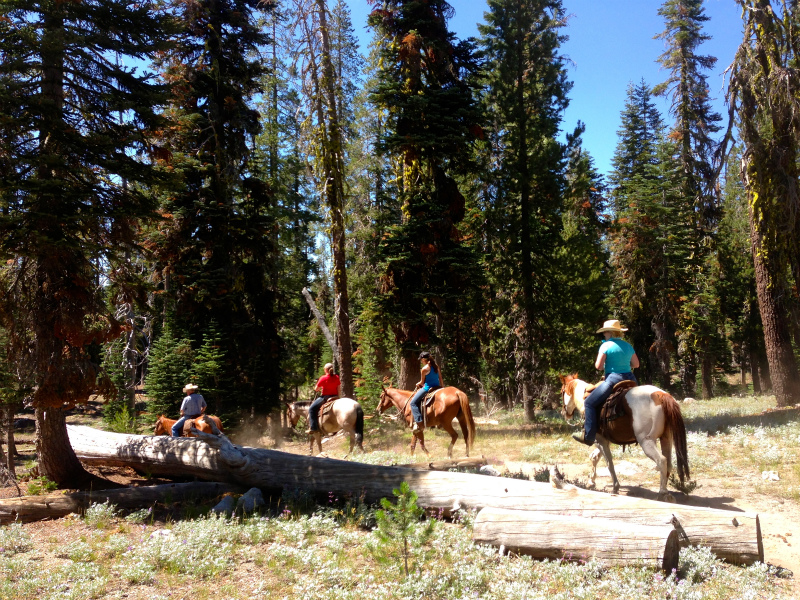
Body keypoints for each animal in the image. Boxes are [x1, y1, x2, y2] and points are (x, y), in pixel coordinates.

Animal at [560, 372, 692, 504]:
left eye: (562, 391)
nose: (564, 413)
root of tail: (661, 395)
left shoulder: (599, 440)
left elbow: (609, 463)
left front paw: (615, 487)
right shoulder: (604, 440)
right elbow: (595, 457)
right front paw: (591, 481)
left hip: (647, 441)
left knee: (662, 461)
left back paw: (663, 493)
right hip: (666, 438)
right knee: (668, 462)